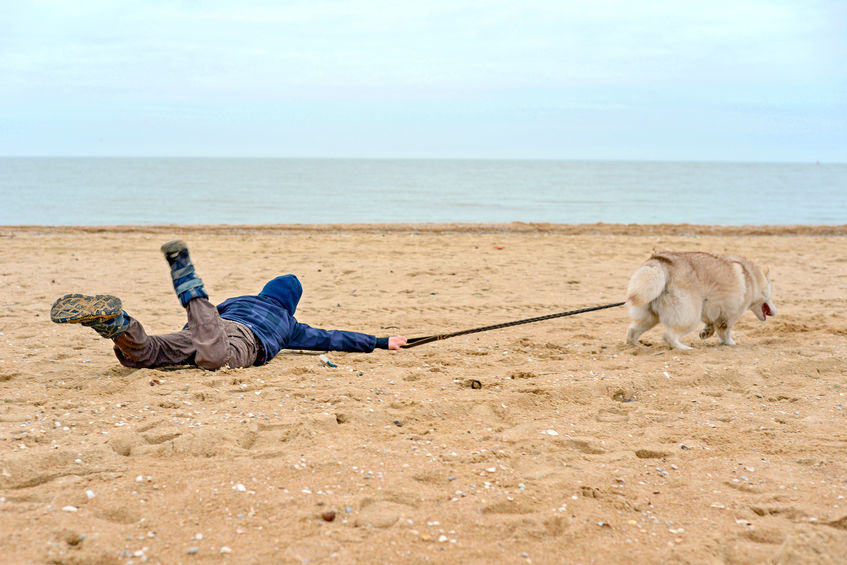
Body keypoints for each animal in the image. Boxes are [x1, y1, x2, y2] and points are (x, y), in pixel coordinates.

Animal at [628, 251, 780, 348]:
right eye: (770, 295)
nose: (776, 312)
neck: (752, 279)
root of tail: (660, 263)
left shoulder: (711, 309)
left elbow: (711, 324)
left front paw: (706, 333)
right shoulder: (729, 315)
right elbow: (725, 331)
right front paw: (729, 342)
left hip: (649, 316)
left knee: (632, 330)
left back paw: (633, 346)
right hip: (690, 317)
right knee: (668, 336)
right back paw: (684, 348)